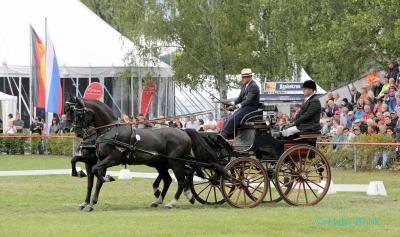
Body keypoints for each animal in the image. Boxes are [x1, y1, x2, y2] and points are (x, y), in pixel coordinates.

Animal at [66, 98, 222, 209]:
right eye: (70, 113)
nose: (76, 131)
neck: (109, 131)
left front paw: (99, 190)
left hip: (174, 161)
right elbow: (84, 172)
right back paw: (170, 197)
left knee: (181, 179)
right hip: (164, 162)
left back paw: (172, 202)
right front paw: (86, 198)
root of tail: (183, 131)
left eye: (78, 114)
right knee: (175, 177)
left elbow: (96, 176)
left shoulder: (112, 159)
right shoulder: (97, 159)